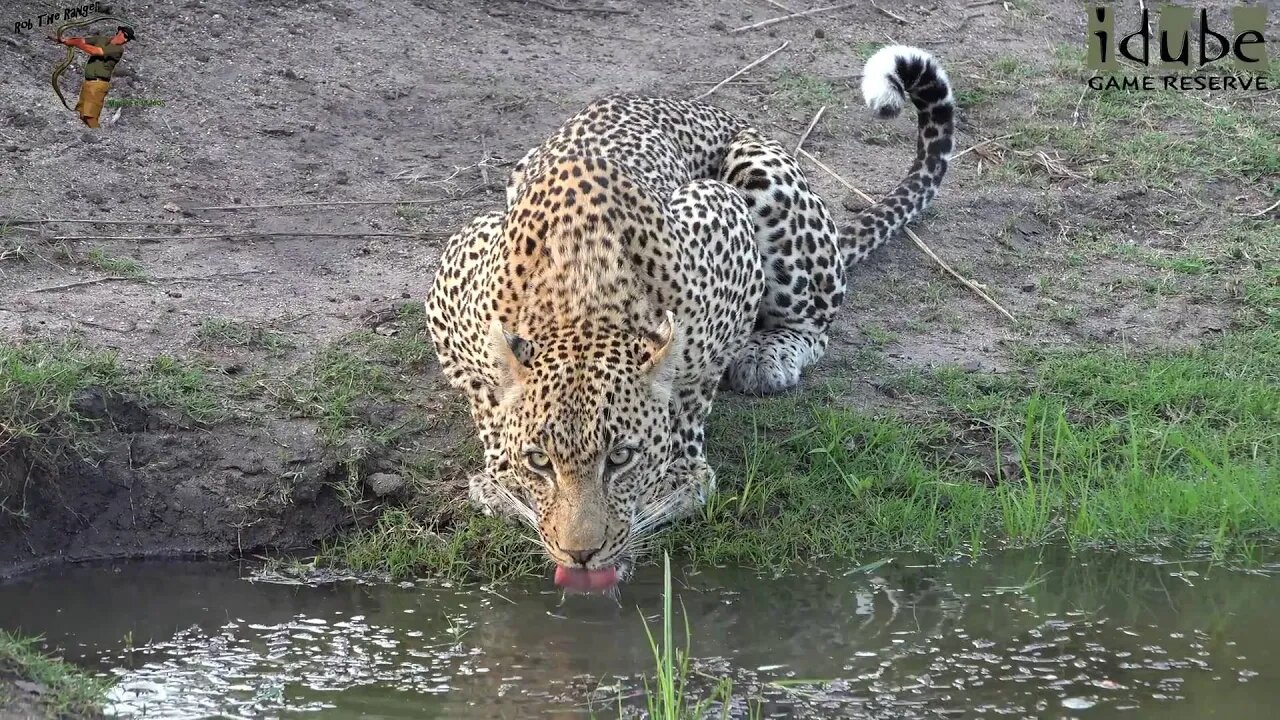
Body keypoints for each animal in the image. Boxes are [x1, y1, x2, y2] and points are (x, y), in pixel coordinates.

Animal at [424, 43, 957, 589]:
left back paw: (767, 356)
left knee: (812, 321)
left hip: (762, 175)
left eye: (620, 459)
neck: (581, 297)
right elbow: (486, 397)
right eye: (540, 462)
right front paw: (501, 480)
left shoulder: (723, 221)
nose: (581, 554)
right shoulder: (455, 280)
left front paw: (679, 474)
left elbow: (692, 385)